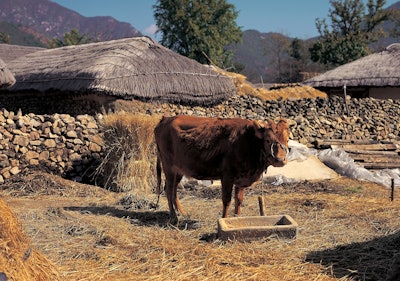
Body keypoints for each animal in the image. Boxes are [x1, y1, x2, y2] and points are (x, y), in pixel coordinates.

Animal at [155, 115, 290, 222]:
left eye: (287, 139)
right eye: (267, 140)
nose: (280, 160)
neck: (248, 141)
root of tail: (165, 119)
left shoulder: (242, 179)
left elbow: (239, 200)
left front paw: (236, 218)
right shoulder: (227, 176)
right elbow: (227, 200)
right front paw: (224, 219)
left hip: (179, 169)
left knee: (173, 190)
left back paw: (181, 212)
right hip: (168, 166)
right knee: (168, 189)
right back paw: (174, 216)